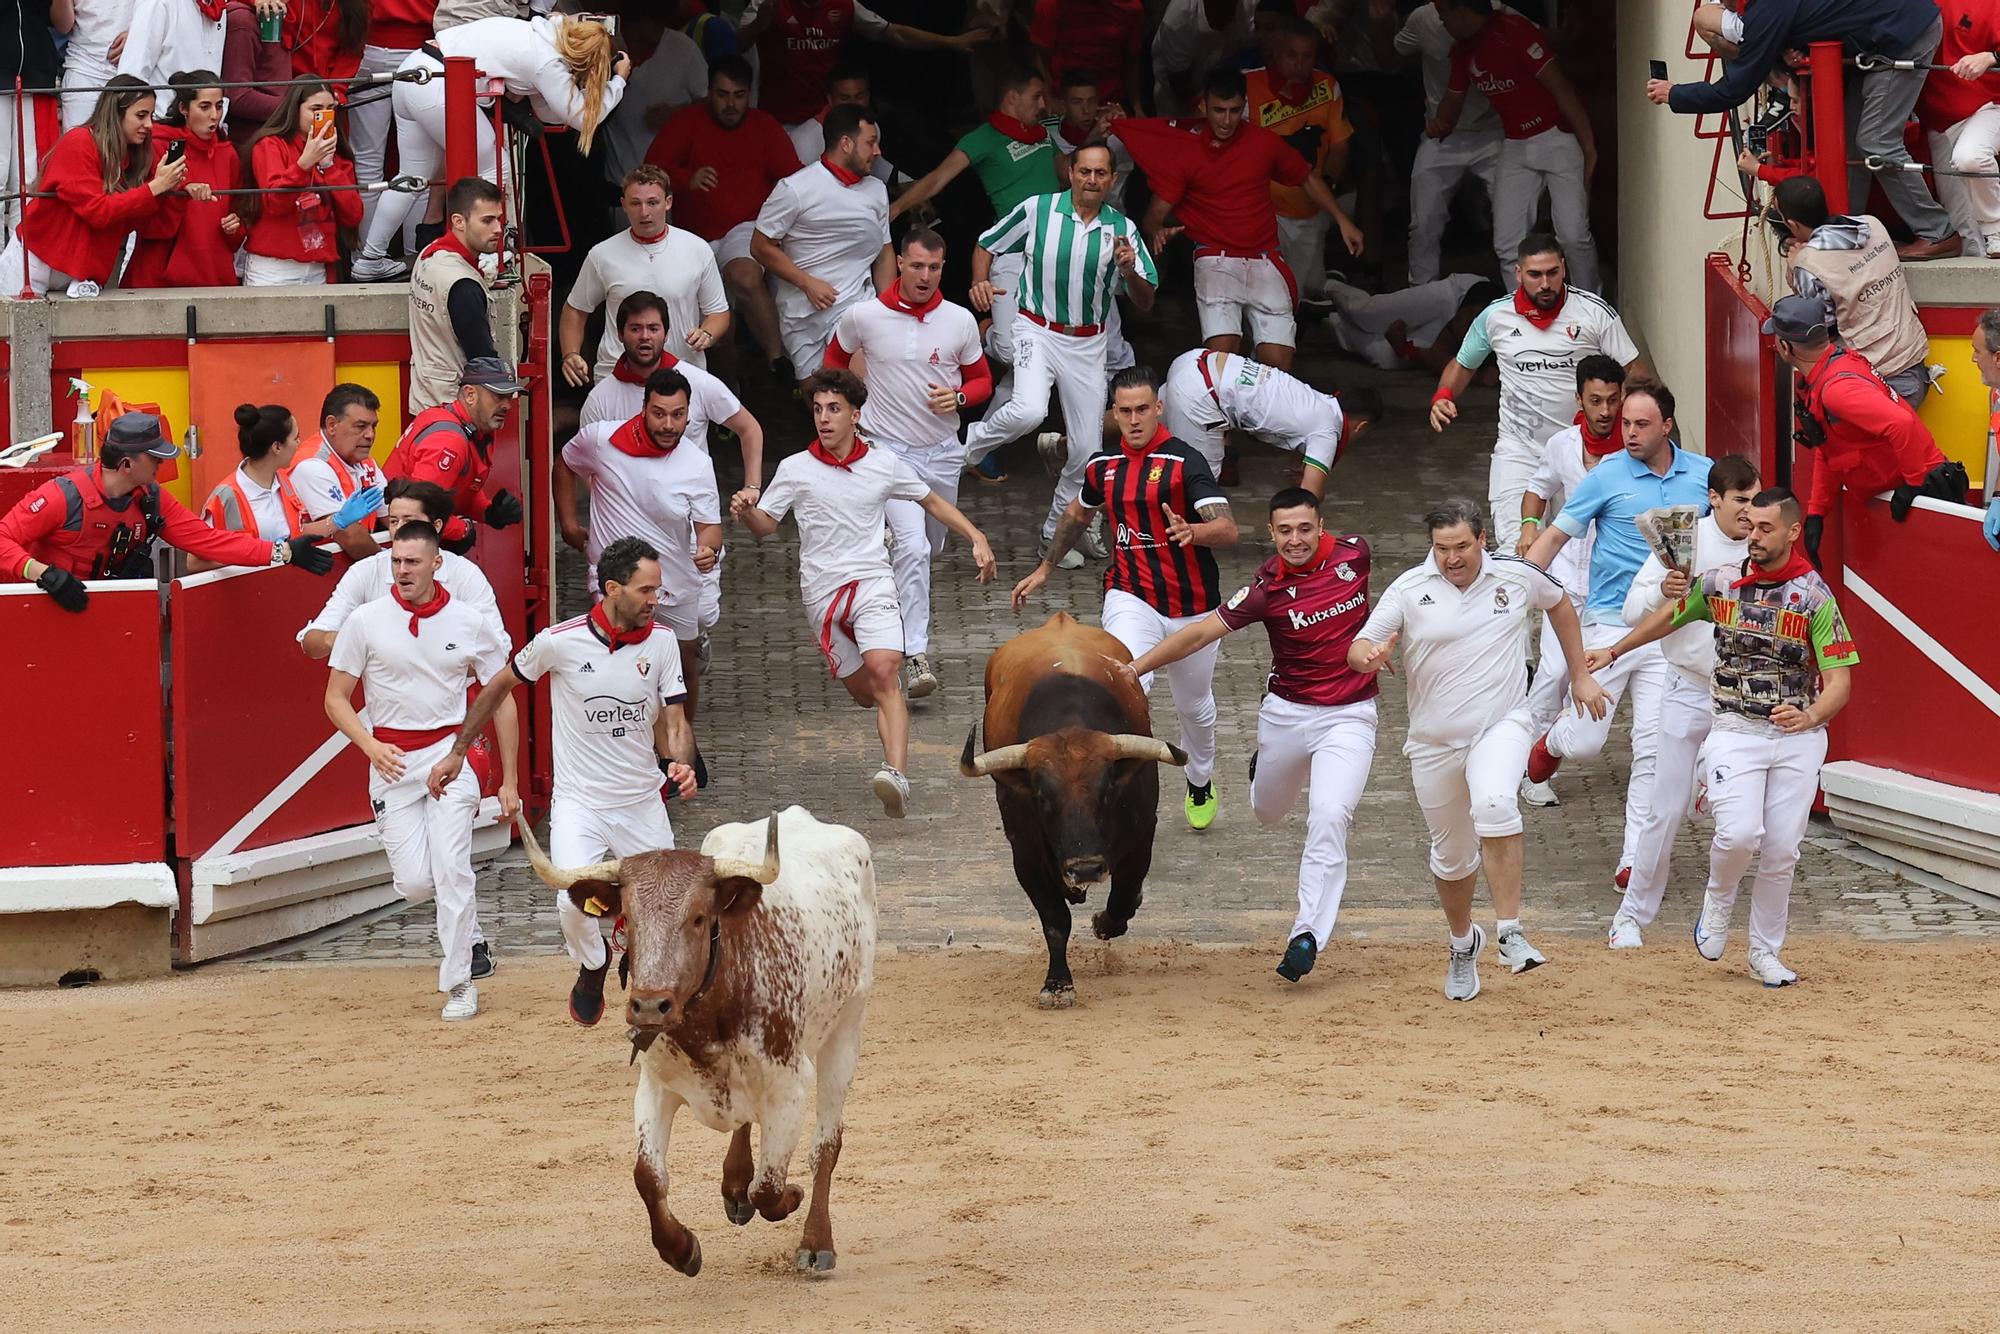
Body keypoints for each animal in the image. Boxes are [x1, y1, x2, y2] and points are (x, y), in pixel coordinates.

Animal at [956, 612, 1176, 1008]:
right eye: (1043, 797)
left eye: (1107, 791)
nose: (1085, 867)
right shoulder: (1024, 852)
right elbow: (1055, 920)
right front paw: (1057, 983)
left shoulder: (1142, 834)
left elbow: (1123, 897)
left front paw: (1104, 923)